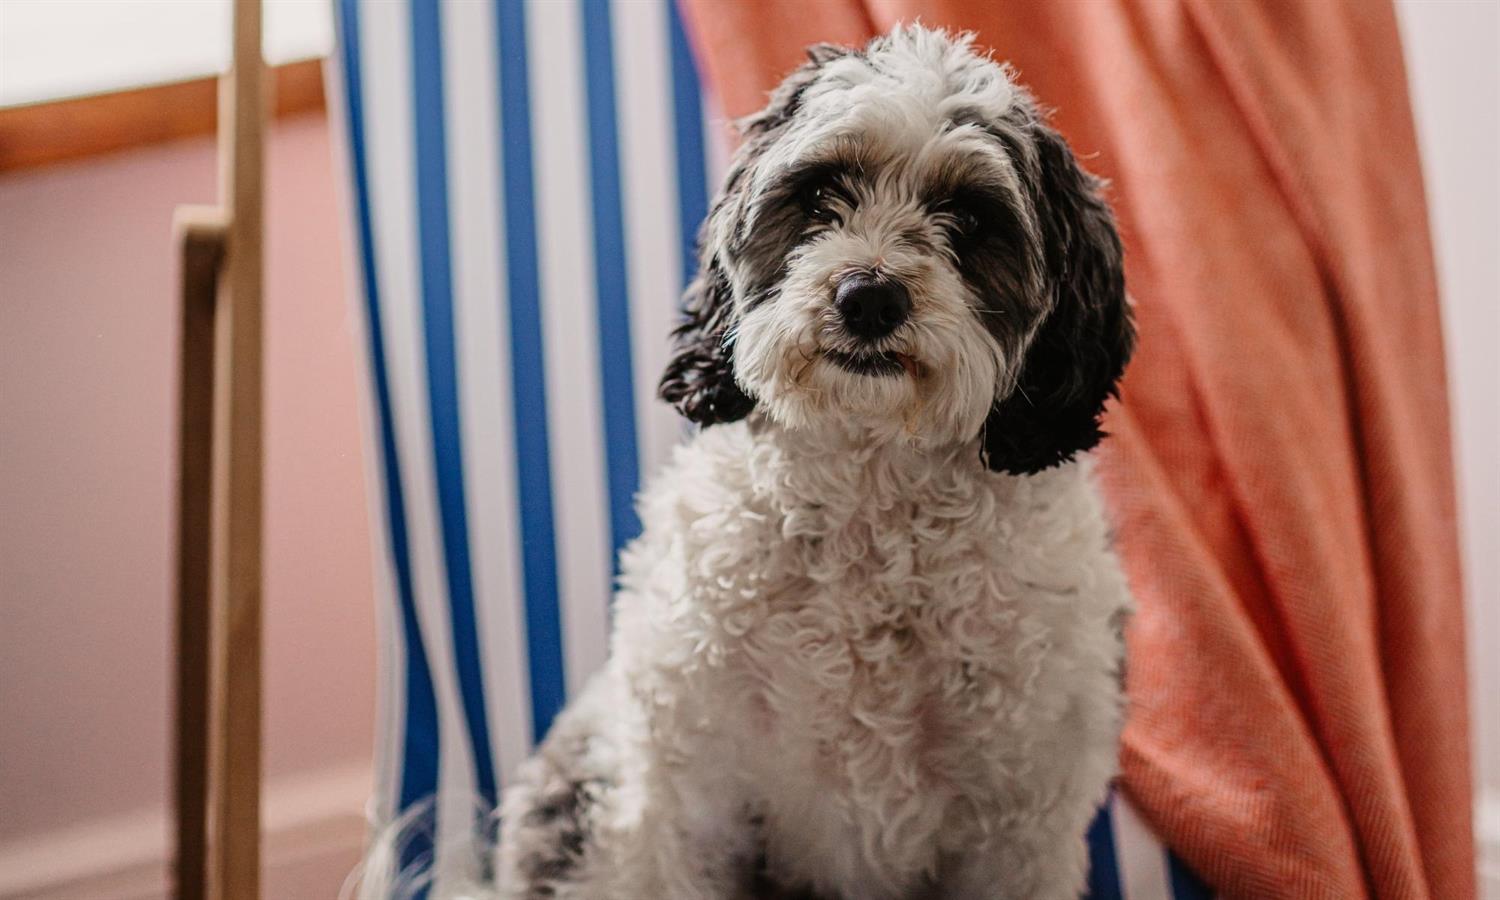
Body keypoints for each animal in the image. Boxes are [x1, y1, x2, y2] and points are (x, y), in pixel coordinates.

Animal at [495, 26, 1134, 900]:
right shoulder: (683, 795)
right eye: (822, 192)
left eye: (971, 219)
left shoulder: (1019, 825)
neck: (871, 498)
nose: (869, 296)